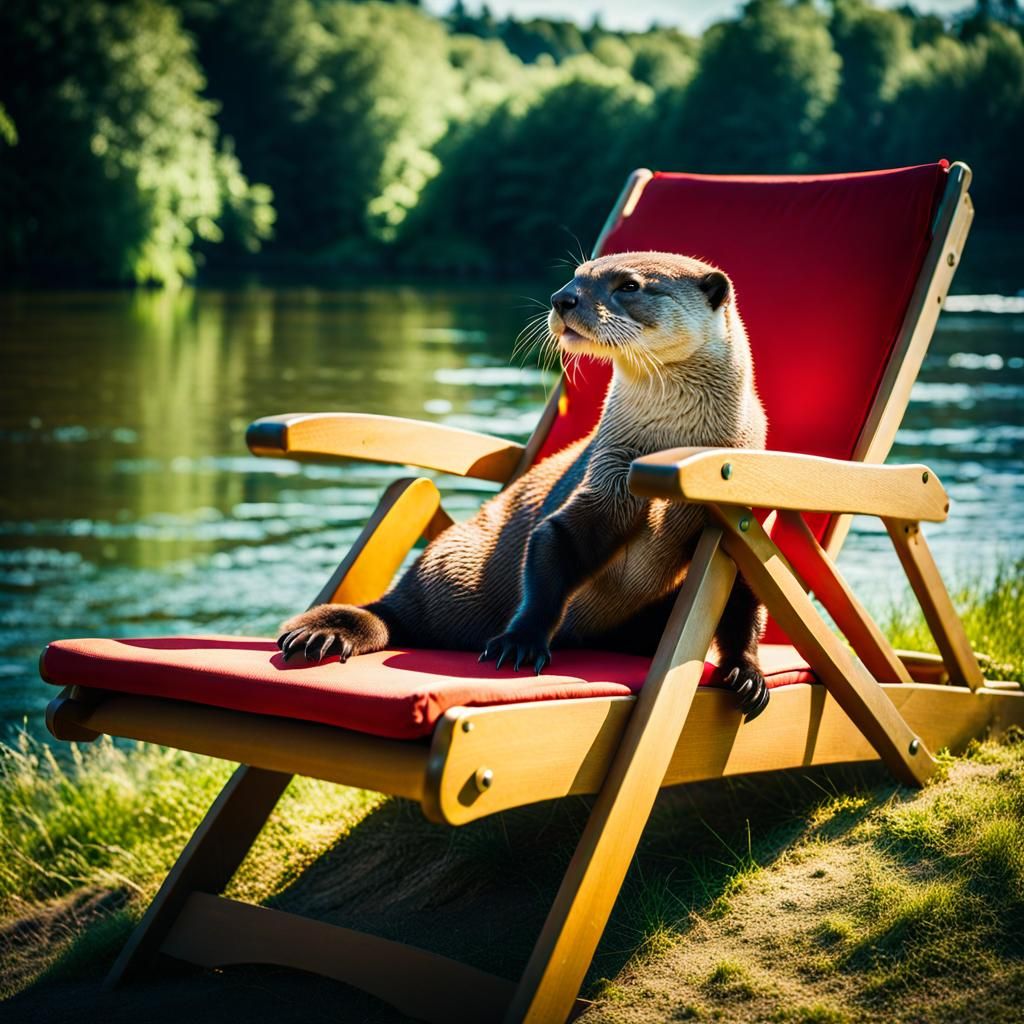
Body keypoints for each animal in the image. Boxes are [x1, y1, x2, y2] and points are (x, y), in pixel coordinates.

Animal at [278, 252, 771, 719]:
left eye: (628, 285)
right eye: (577, 275)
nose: (562, 298)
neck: (669, 446)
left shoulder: (735, 523)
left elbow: (744, 598)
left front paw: (746, 672)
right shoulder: (606, 474)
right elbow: (554, 543)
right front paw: (522, 639)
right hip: (453, 570)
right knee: (395, 614)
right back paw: (332, 631)